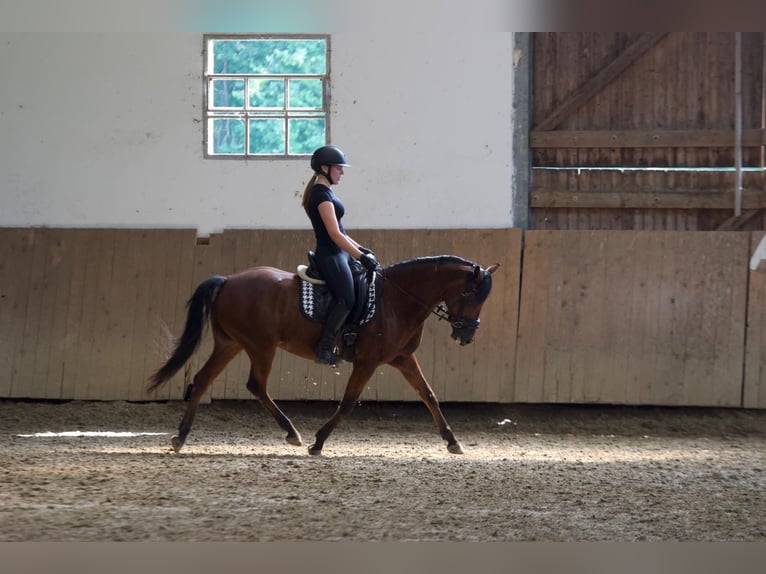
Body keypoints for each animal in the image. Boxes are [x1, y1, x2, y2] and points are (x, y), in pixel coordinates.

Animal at [147, 255, 500, 455]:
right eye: (469, 293)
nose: (467, 335)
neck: (397, 300)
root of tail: (228, 281)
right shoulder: (367, 362)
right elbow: (348, 402)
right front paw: (318, 442)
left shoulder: (402, 359)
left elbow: (429, 395)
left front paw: (452, 441)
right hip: (260, 345)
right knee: (256, 385)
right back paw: (293, 434)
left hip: (230, 344)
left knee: (203, 379)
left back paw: (180, 437)